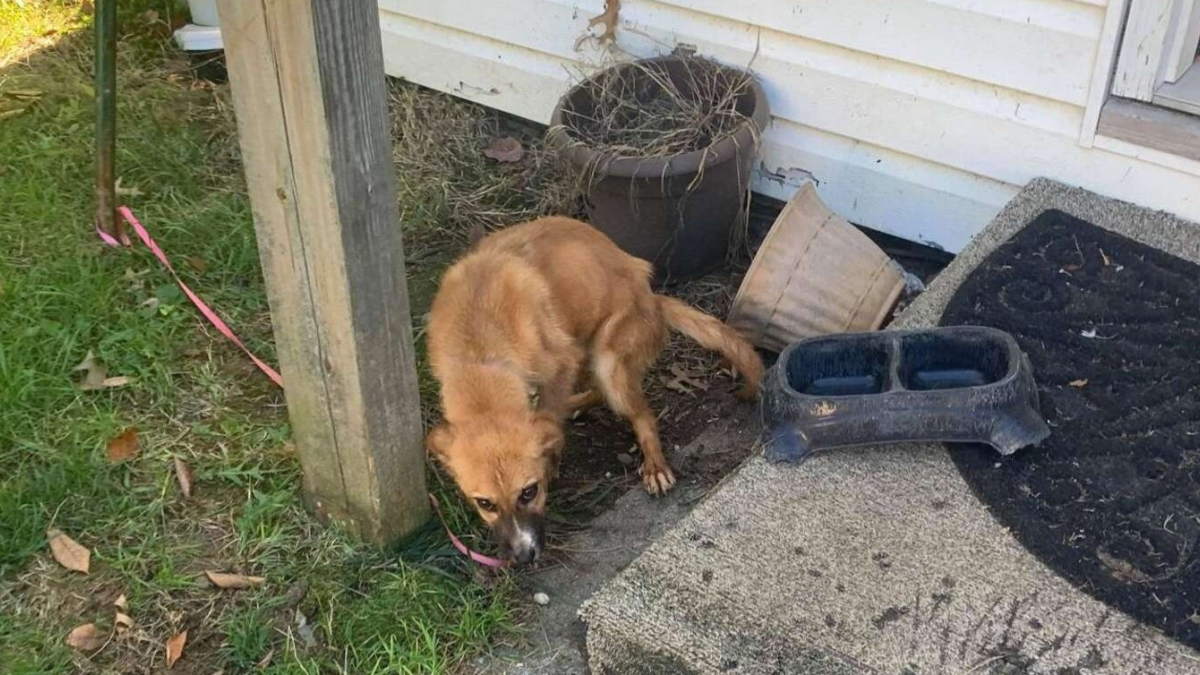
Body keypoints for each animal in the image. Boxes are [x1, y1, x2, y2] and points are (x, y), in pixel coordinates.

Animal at [427, 216, 763, 562]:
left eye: (529, 492)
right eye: (485, 503)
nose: (524, 557)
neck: (480, 352)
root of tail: (653, 300)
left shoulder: (561, 364)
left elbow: (551, 416)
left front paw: (553, 459)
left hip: (609, 358)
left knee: (640, 411)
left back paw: (654, 464)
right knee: (598, 391)